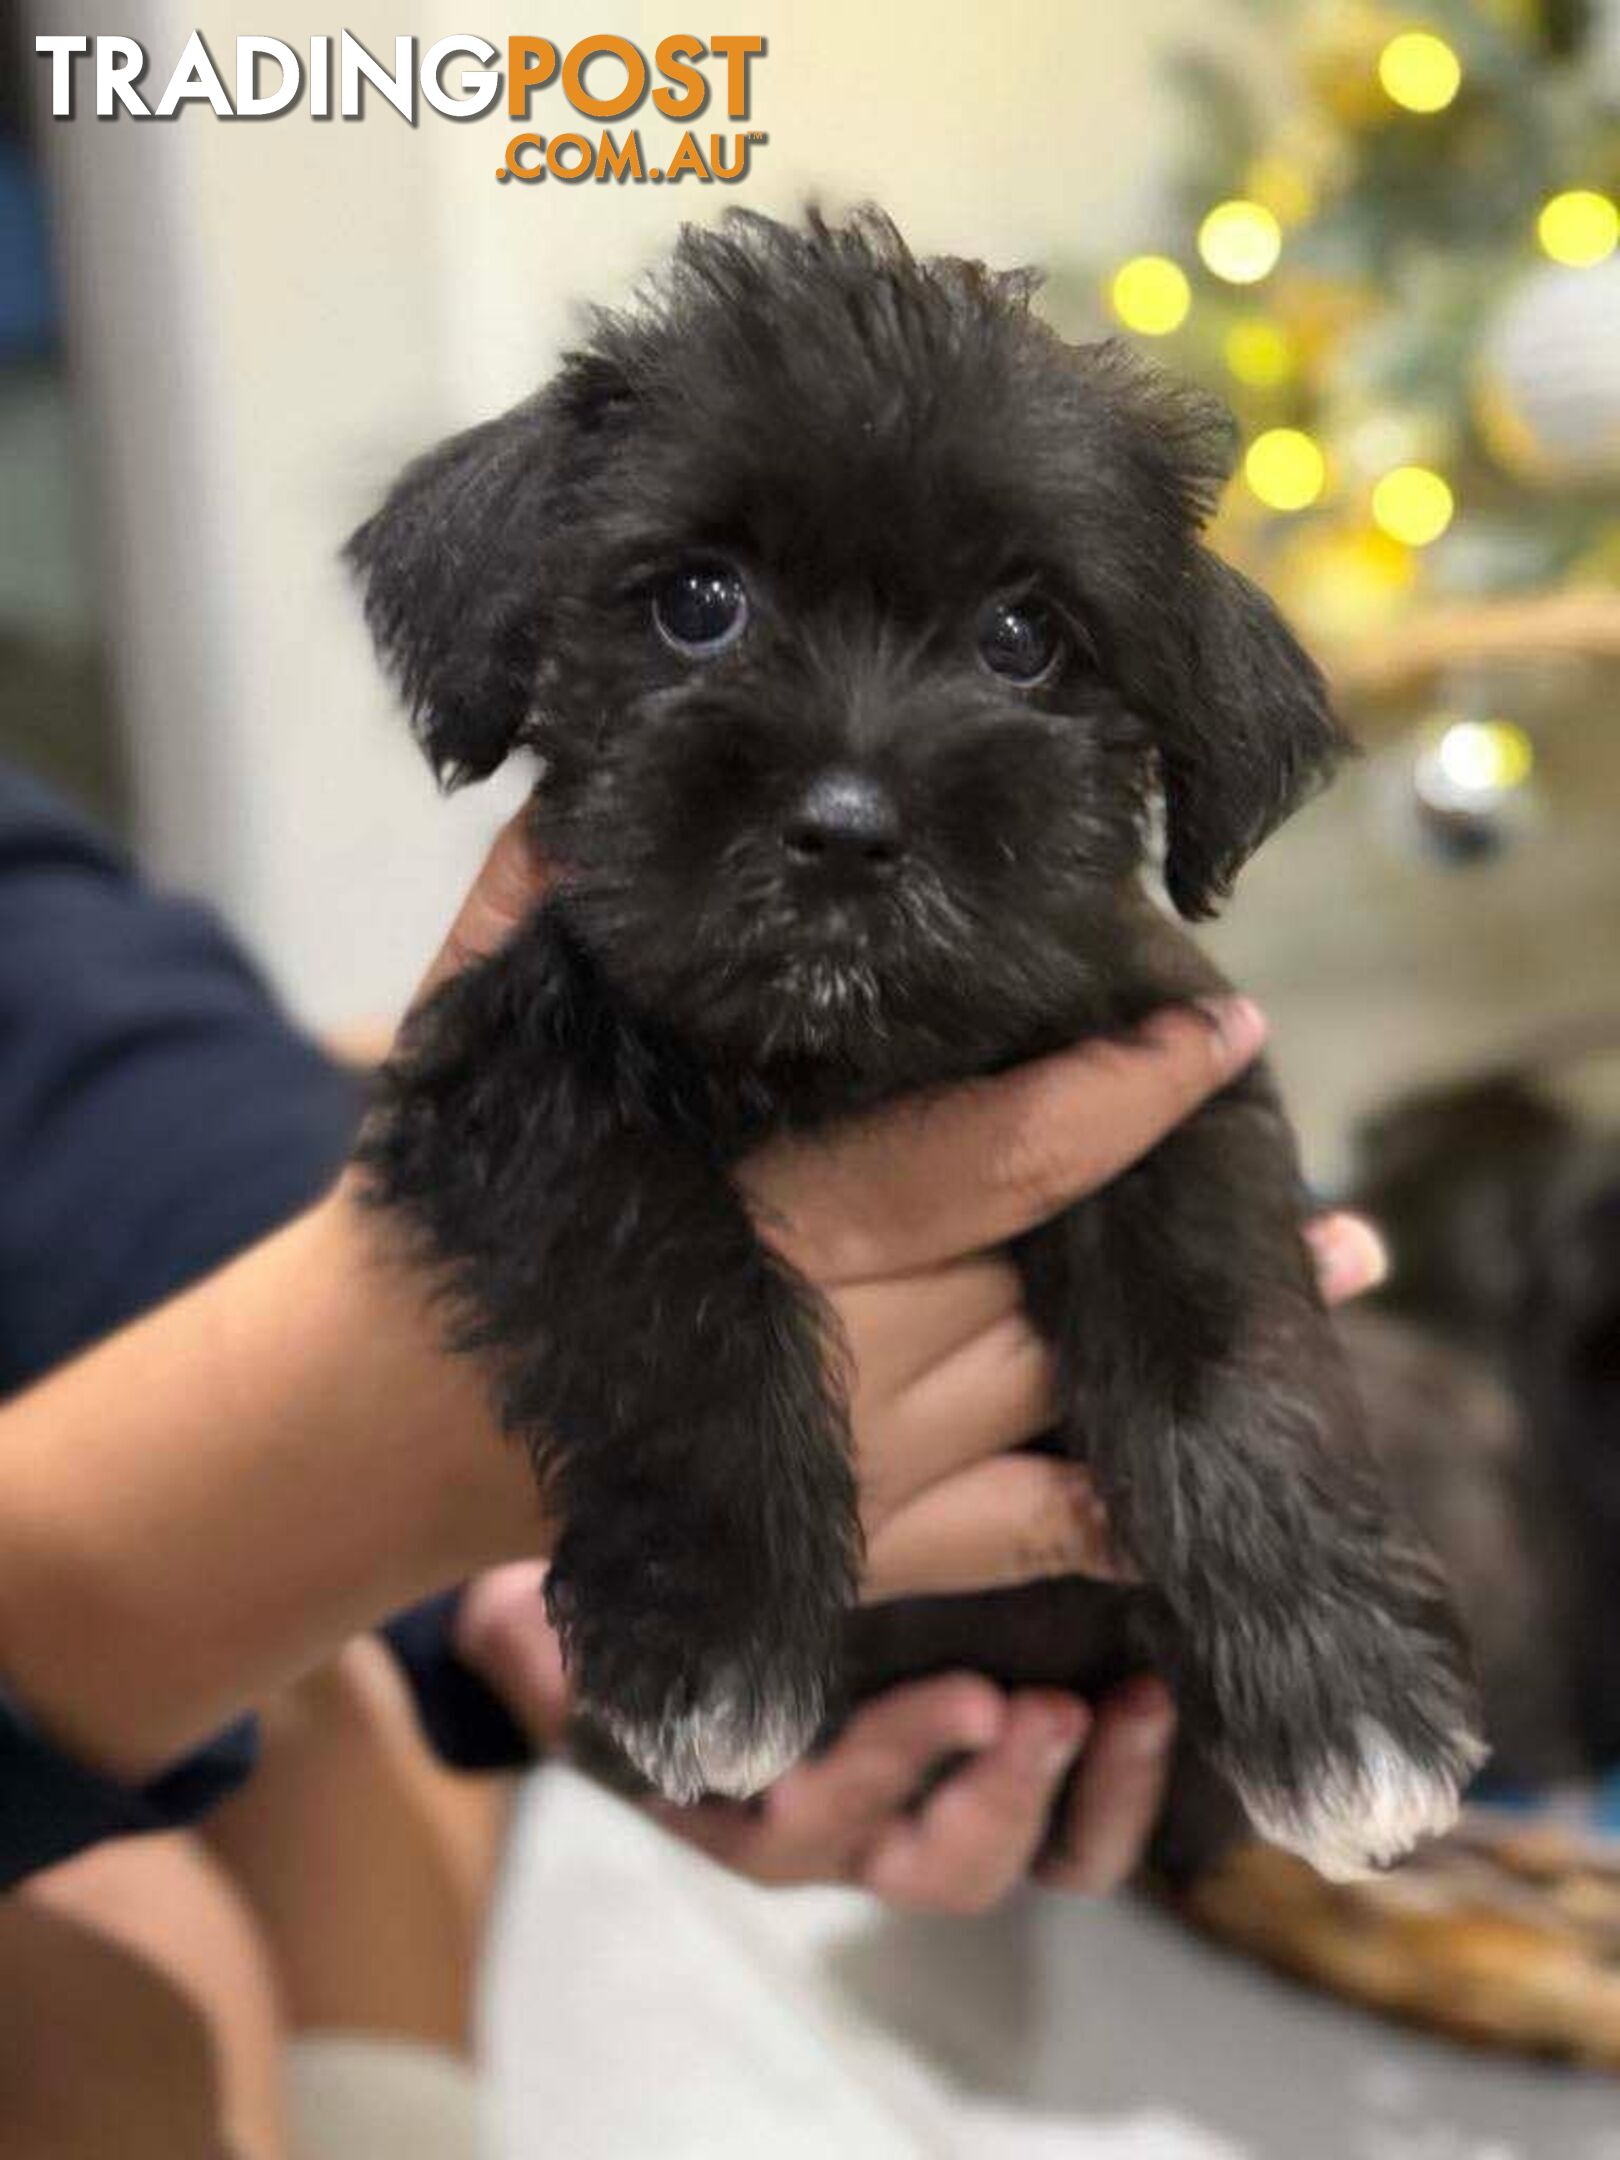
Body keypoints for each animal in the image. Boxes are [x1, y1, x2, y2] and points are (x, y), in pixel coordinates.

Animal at [352, 210, 1486, 1883]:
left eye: (1024, 637)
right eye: (698, 602)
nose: (845, 828)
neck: (857, 1061)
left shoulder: (1170, 1081)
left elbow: (1222, 1344)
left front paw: (1343, 1697)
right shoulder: (512, 1076)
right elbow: (669, 1281)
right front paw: (716, 1637)